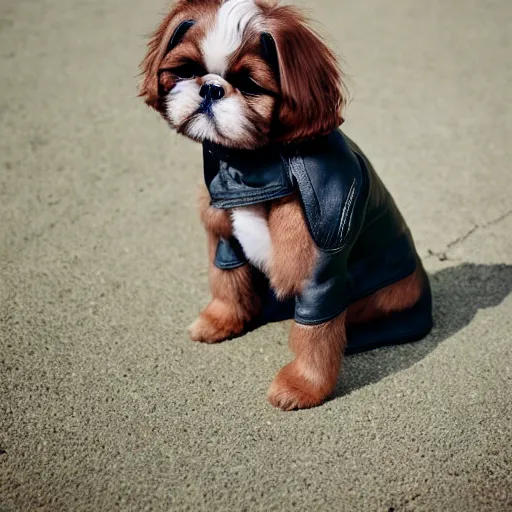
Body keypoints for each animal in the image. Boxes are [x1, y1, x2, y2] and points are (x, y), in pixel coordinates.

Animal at [140, 0, 432, 410]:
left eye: (250, 84)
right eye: (187, 71)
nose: (211, 88)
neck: (257, 164)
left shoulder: (320, 266)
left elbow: (316, 331)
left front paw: (304, 386)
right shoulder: (226, 237)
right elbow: (227, 282)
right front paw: (222, 320)